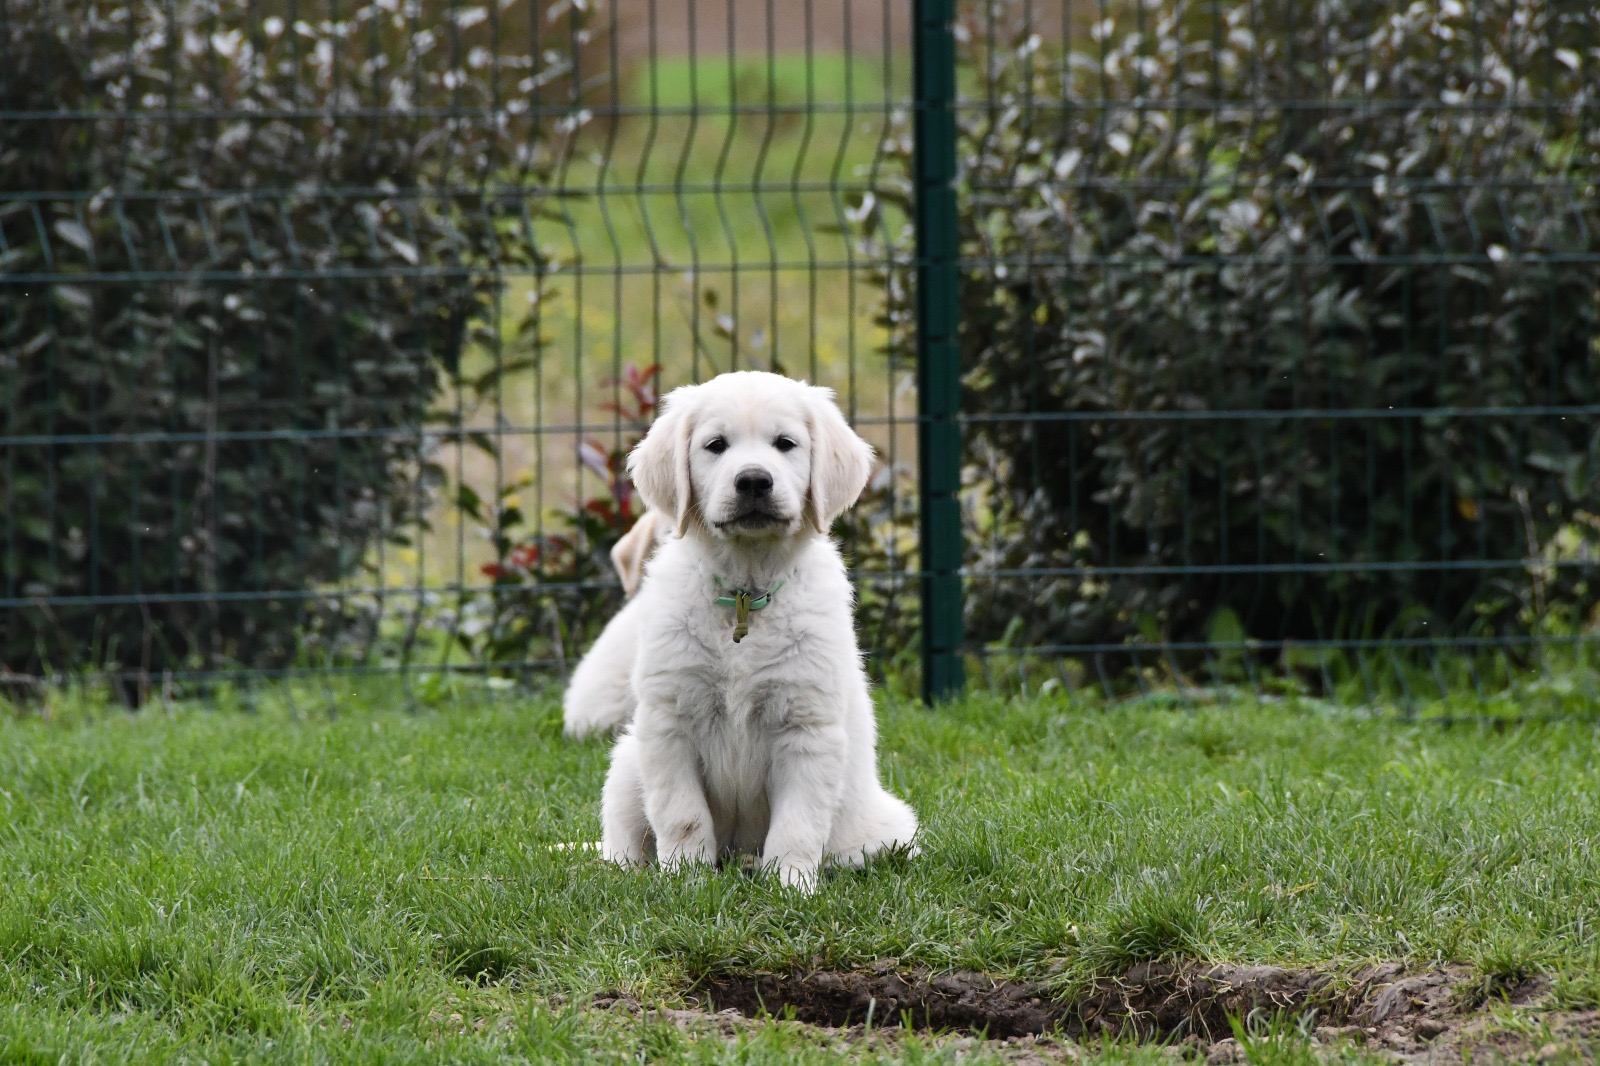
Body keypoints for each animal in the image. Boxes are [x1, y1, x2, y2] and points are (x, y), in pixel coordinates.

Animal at [601, 371, 921, 889]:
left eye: (785, 444)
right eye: (715, 445)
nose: (753, 479)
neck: (745, 594)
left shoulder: (806, 727)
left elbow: (798, 821)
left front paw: (791, 884)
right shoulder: (669, 721)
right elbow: (681, 813)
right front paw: (685, 879)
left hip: (889, 831)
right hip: (628, 764)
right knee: (622, 839)